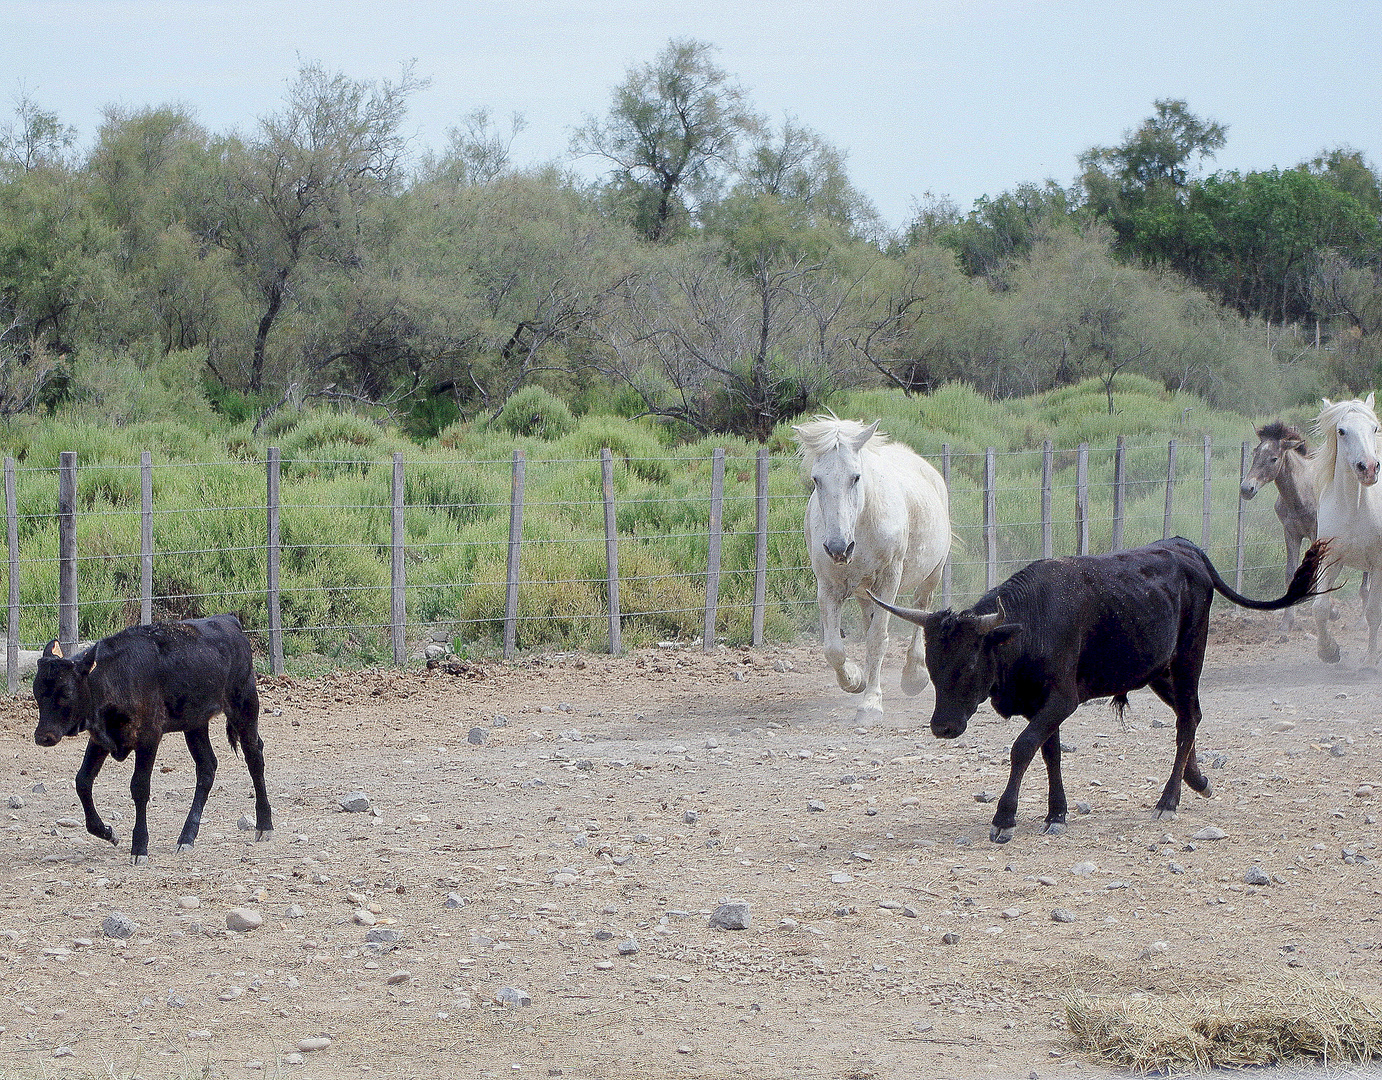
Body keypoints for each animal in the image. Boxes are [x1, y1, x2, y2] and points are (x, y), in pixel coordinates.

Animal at [32, 613, 270, 857]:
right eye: (37, 691)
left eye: (66, 693)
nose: (42, 736)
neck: (117, 675)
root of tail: (229, 620)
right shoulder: (100, 738)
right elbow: (83, 781)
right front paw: (107, 832)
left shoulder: (149, 736)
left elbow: (139, 787)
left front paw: (139, 846)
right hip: (195, 723)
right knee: (207, 767)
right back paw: (187, 836)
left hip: (244, 705)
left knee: (254, 757)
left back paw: (264, 825)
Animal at [790, 417, 950, 719]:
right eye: (816, 479)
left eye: (856, 477)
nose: (839, 548)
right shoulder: (827, 587)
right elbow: (833, 649)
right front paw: (855, 680)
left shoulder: (889, 580)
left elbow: (877, 638)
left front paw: (871, 704)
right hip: (865, 593)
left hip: (931, 575)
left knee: (921, 608)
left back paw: (914, 676)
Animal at [867, 539, 1332, 840]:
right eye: (931, 666)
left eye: (967, 664)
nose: (942, 727)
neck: (1030, 623)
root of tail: (1185, 550)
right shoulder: (1042, 704)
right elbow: (1049, 753)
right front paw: (1057, 813)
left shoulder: (1062, 700)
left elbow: (1023, 747)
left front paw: (1005, 817)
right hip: (1157, 670)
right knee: (1191, 716)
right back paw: (1197, 781)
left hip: (1188, 658)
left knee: (1187, 721)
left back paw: (1169, 800)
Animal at [1304, 392, 1382, 660]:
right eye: (1341, 431)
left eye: (1374, 428)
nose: (1368, 468)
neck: (1354, 509)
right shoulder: (1330, 559)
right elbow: (1319, 607)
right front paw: (1329, 651)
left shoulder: (1378, 564)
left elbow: (1373, 612)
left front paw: (1370, 660)